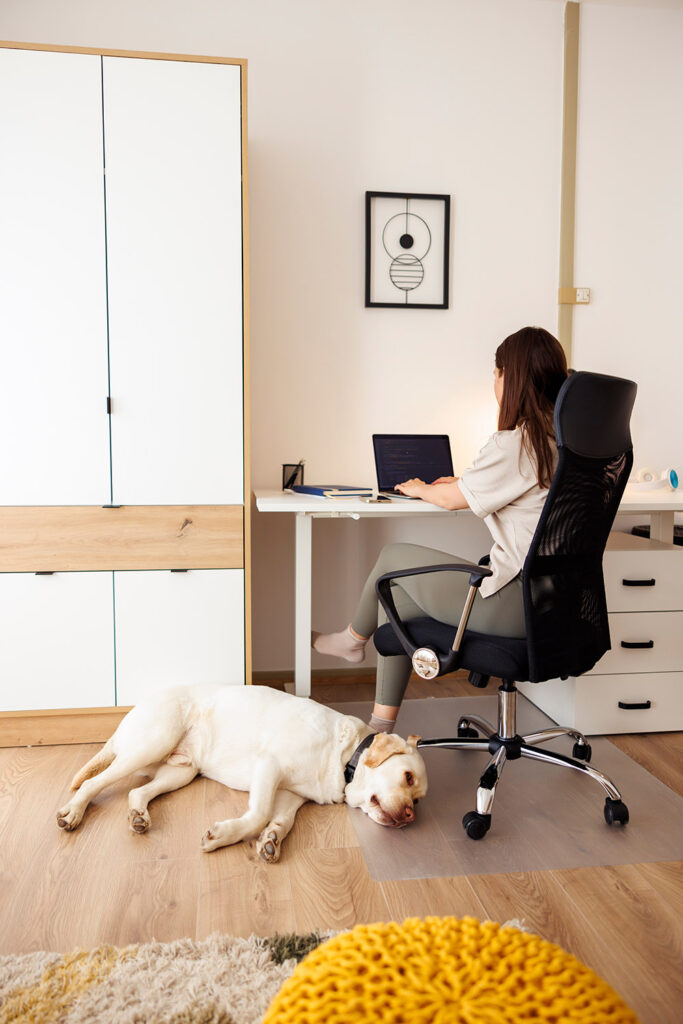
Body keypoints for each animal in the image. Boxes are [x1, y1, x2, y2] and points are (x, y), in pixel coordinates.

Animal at [56, 684, 428, 860]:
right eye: (407, 777)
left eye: (418, 801)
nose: (410, 817)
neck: (344, 756)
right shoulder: (269, 766)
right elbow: (258, 813)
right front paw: (223, 836)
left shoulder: (291, 794)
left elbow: (283, 820)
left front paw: (272, 840)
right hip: (152, 742)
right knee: (92, 783)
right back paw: (73, 812)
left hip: (181, 771)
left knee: (137, 791)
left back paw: (138, 816)